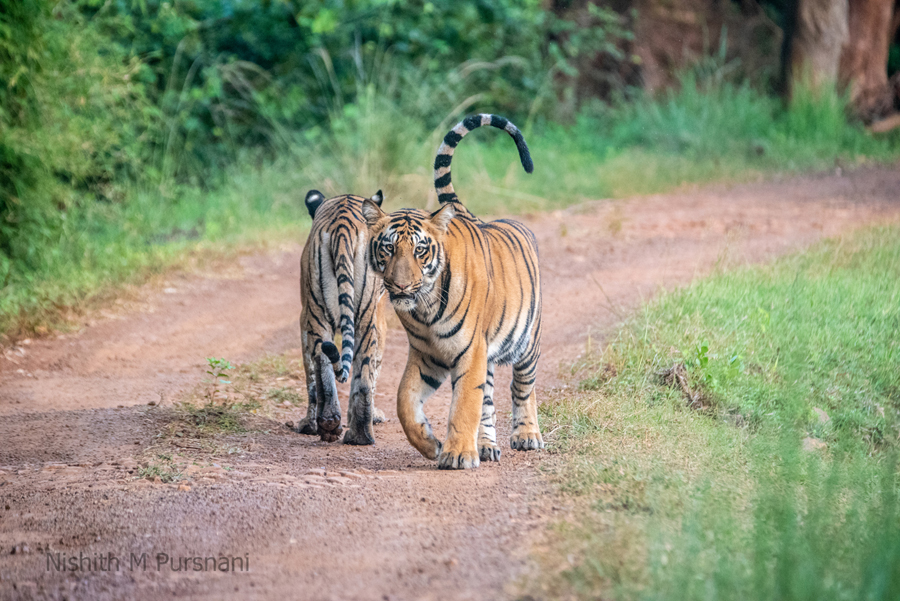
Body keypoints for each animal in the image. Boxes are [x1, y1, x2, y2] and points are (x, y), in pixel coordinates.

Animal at [297, 189, 388, 445]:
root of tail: (342, 225)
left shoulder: (306, 319)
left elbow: (310, 373)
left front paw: (309, 424)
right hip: (362, 318)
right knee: (362, 373)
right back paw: (359, 435)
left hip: (319, 314)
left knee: (323, 362)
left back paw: (330, 425)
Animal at [360, 114, 544, 470]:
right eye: (388, 248)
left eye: (419, 250)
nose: (401, 285)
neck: (425, 307)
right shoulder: (426, 356)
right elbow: (405, 401)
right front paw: (430, 445)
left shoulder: (470, 351)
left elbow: (464, 405)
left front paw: (457, 454)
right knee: (490, 399)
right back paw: (486, 446)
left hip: (527, 341)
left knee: (522, 387)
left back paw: (527, 435)